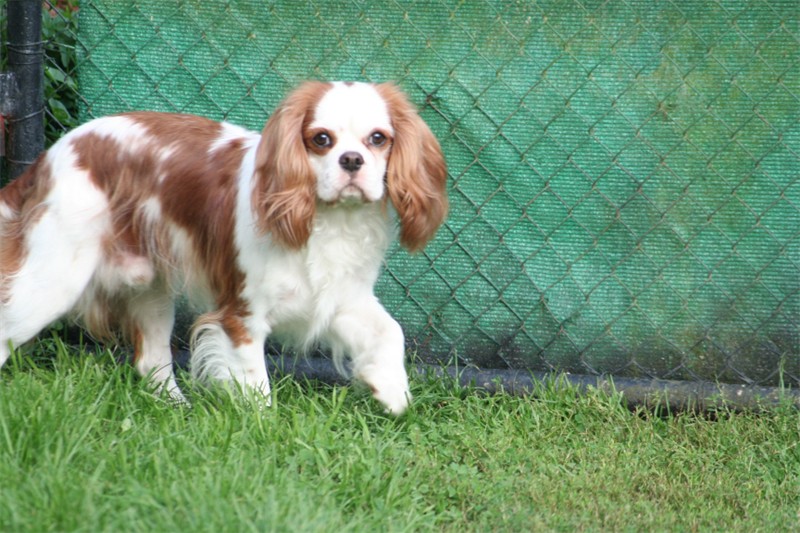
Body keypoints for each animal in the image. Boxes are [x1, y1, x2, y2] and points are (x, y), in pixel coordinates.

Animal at [0, 81, 450, 414]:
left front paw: (390, 390)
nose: (352, 159)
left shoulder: (342, 297)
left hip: (150, 289)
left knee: (152, 360)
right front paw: (265, 431)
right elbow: (256, 385)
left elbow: (390, 331)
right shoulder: (242, 315)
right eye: (321, 139)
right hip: (54, 278)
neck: (328, 220)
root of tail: (49, 156)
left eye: (378, 139)